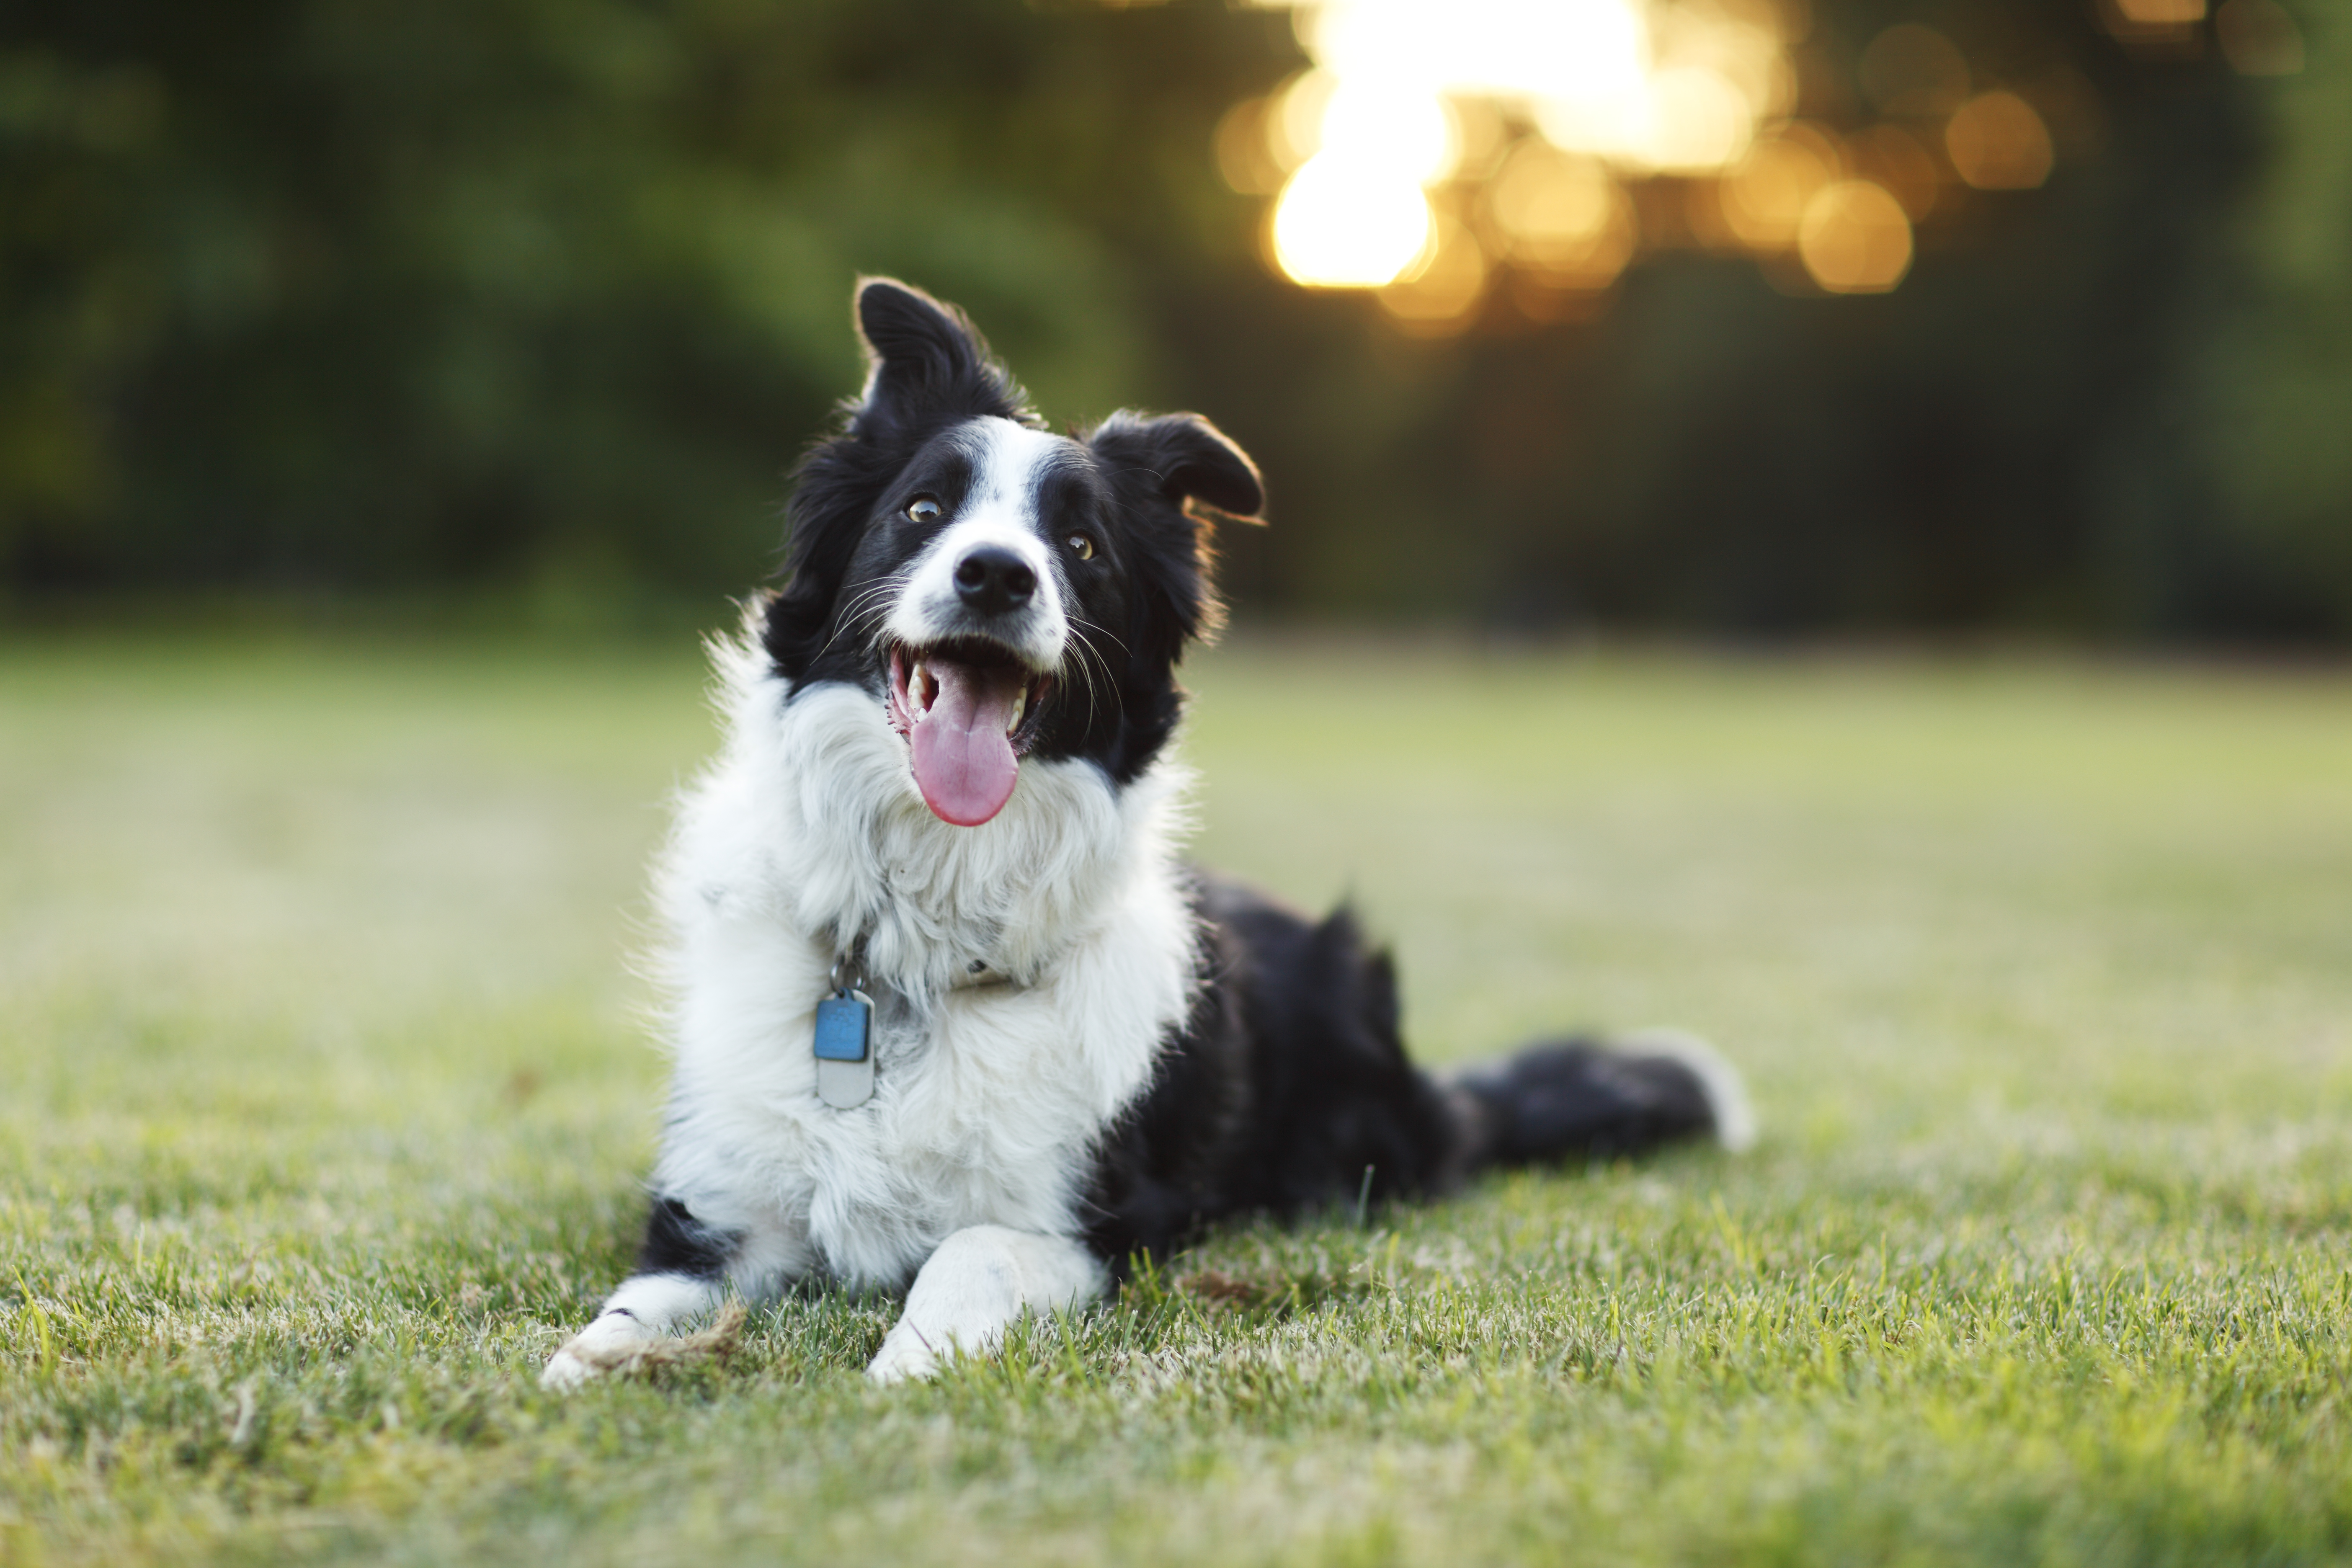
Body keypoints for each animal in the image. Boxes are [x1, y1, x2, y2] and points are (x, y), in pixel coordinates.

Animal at [539, 279, 1750, 1382]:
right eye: (923, 512)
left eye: (1080, 546)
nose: (996, 573)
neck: (921, 948)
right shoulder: (716, 1208)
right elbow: (634, 1307)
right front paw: (589, 1367)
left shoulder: (1104, 1226)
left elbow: (971, 1248)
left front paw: (904, 1367)